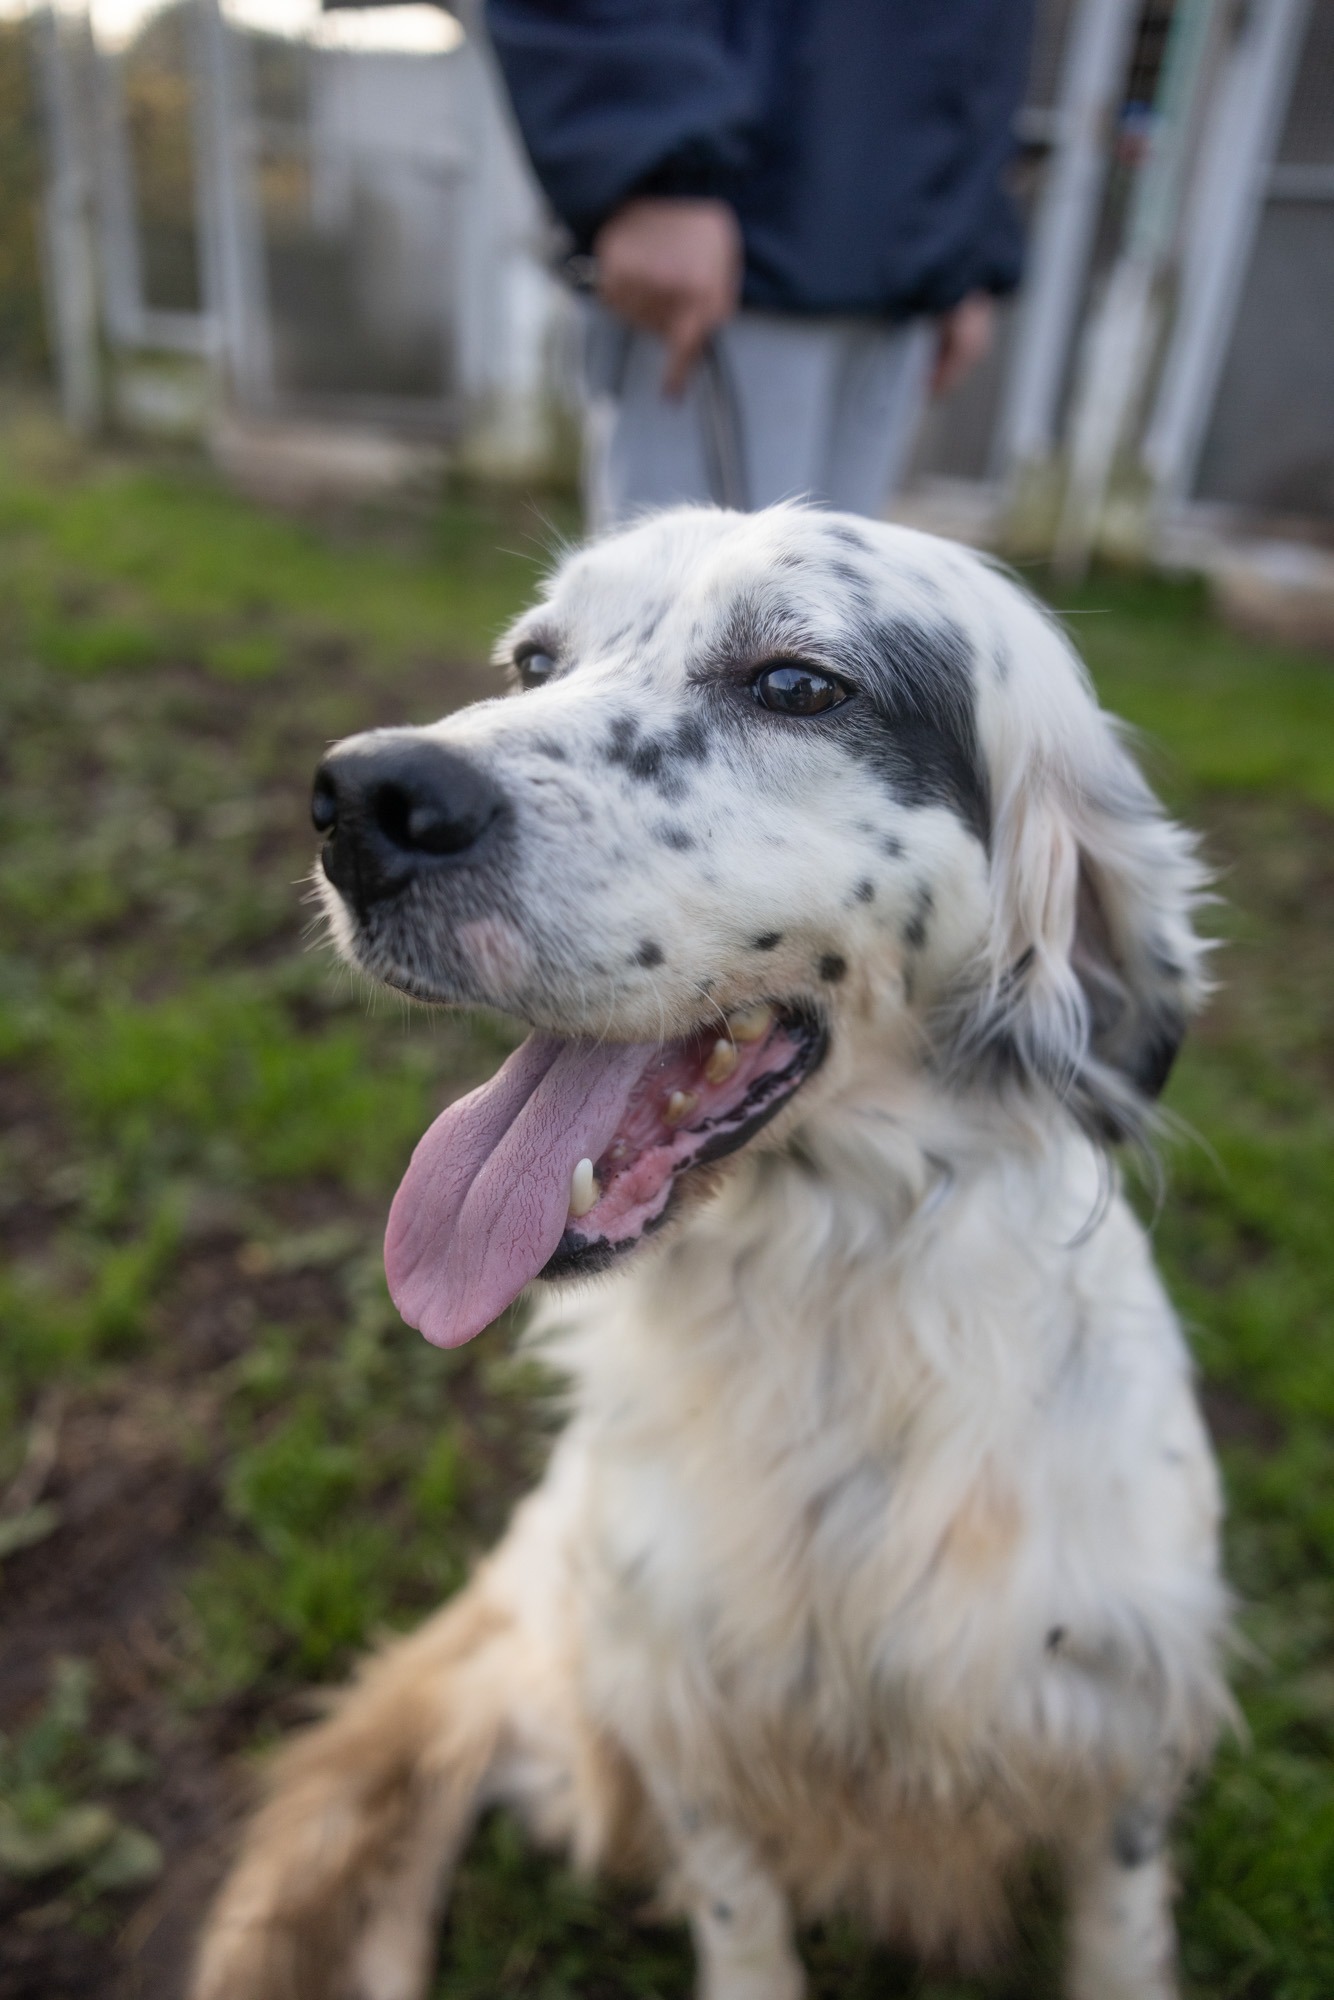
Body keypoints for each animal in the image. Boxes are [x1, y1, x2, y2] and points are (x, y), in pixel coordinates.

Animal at [193, 505, 1229, 2000]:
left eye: (796, 683)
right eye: (533, 660)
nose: (362, 799)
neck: (832, 1310)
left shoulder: (1113, 1721)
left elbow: (1121, 1934)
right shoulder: (683, 1713)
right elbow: (739, 1916)